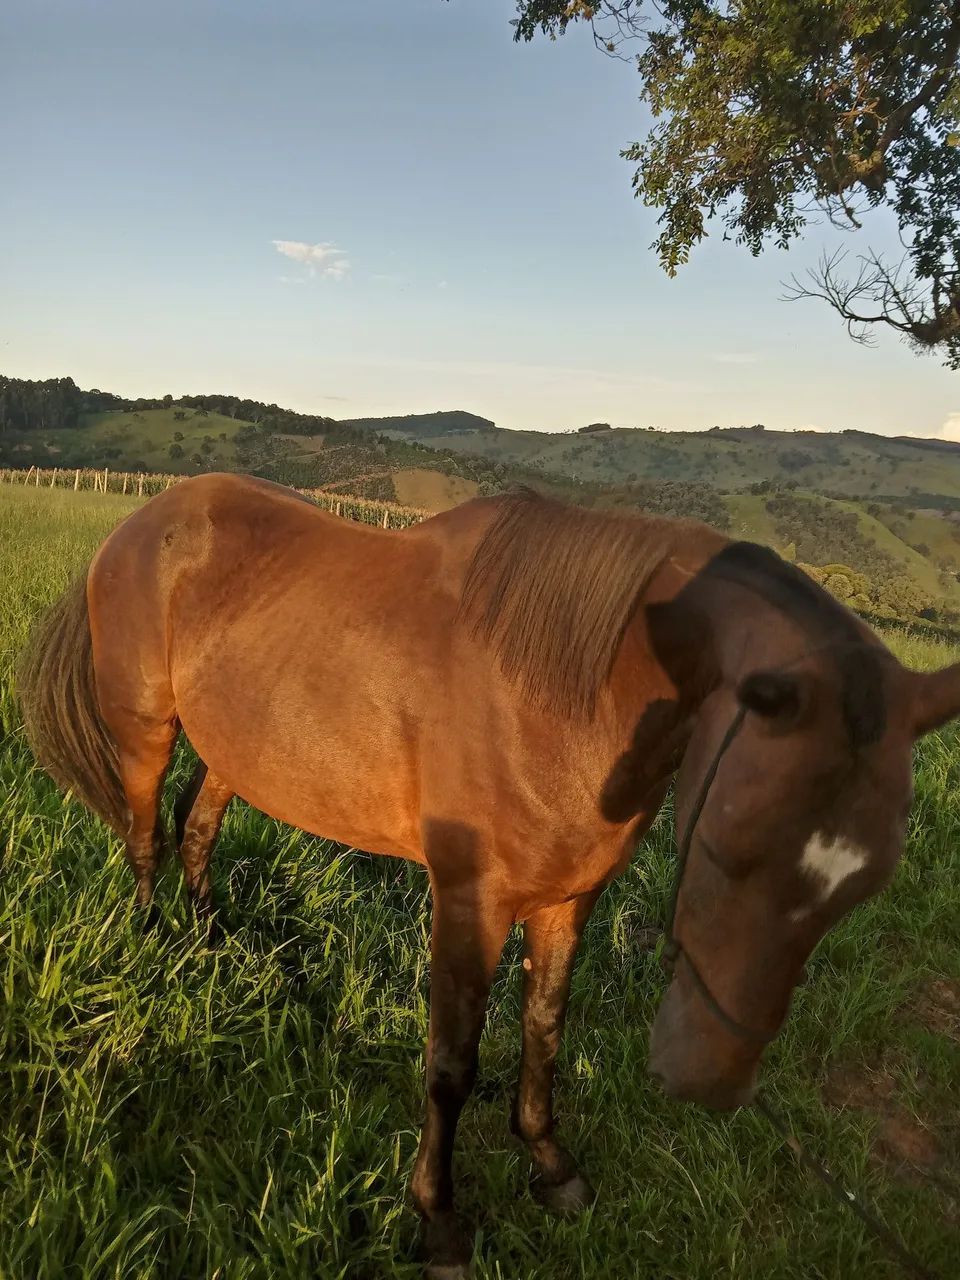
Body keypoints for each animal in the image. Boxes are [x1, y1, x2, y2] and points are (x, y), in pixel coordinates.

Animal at [17, 474, 960, 1278]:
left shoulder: (571, 899)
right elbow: (452, 1062)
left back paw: (213, 946)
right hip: (145, 732)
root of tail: (146, 518)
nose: (712, 1080)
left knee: (198, 829)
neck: (569, 689)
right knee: (146, 838)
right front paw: (437, 1218)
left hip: (238, 749)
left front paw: (549, 1163)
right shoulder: (469, 902)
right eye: (729, 843)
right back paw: (156, 947)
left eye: (863, 887)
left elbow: (543, 1028)